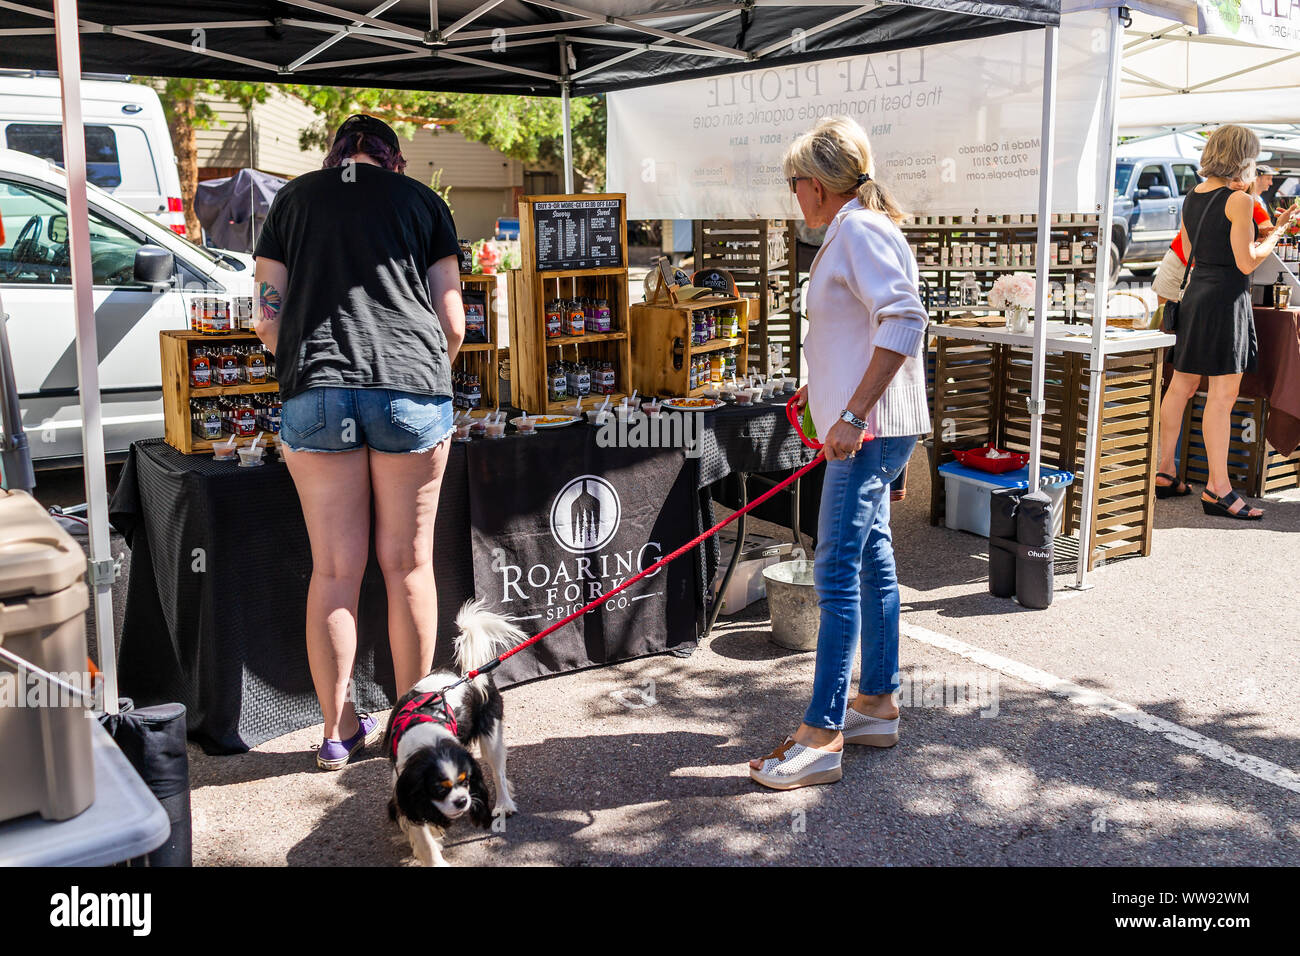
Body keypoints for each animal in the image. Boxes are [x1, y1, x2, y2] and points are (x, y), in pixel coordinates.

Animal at [382, 598, 525, 868]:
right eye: (440, 788)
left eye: (466, 782)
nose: (462, 801)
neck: (430, 739)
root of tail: (464, 670)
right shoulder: (406, 793)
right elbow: (424, 836)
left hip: (491, 735)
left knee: (498, 772)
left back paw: (503, 805)